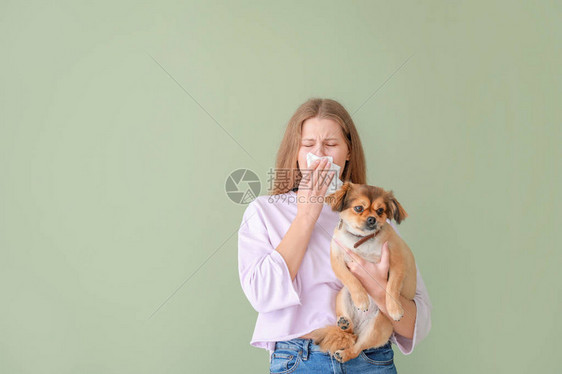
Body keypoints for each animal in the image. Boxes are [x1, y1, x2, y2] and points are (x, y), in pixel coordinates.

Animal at [306, 181, 416, 362]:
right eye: (358, 208)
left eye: (380, 211)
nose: (372, 219)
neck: (361, 241)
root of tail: (358, 326)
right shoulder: (337, 260)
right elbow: (350, 279)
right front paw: (362, 300)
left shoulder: (396, 263)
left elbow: (391, 287)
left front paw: (395, 309)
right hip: (342, 295)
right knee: (350, 333)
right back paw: (345, 324)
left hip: (377, 327)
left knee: (357, 347)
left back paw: (344, 354)